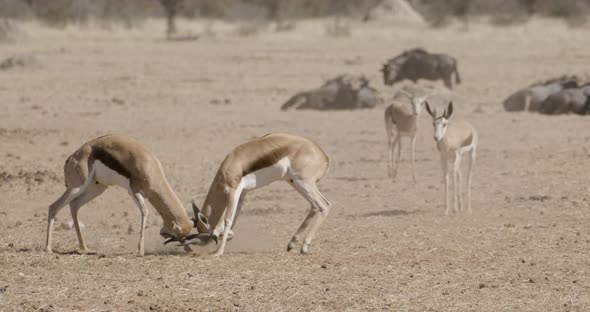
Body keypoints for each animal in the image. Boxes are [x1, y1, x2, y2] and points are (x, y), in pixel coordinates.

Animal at [46, 134, 194, 256]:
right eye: (176, 236)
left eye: (185, 236)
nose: (188, 249)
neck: (150, 167)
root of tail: (71, 157)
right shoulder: (134, 191)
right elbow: (145, 211)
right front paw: (140, 251)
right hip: (76, 187)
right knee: (53, 206)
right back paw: (48, 248)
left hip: (97, 189)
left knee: (74, 205)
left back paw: (84, 247)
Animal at [179, 133, 332, 258]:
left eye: (203, 234)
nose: (187, 246)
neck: (233, 161)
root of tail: (324, 157)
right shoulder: (243, 193)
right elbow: (234, 218)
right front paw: (227, 237)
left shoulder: (233, 191)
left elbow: (228, 220)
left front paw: (218, 252)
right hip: (294, 182)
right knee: (314, 206)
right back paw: (292, 243)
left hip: (303, 183)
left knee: (324, 205)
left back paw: (304, 247)